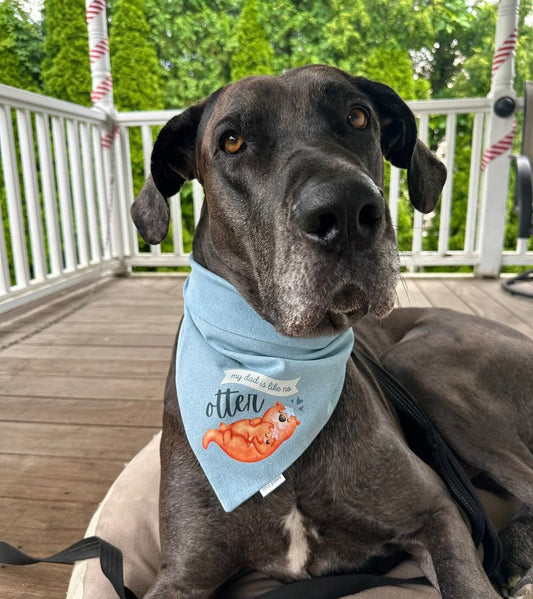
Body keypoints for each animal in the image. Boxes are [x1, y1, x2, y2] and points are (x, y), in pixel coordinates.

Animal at [130, 65, 532, 599]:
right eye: (232, 141)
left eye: (357, 117)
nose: (344, 211)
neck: (276, 359)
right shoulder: (183, 572)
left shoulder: (437, 512)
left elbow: (465, 580)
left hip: (424, 368)